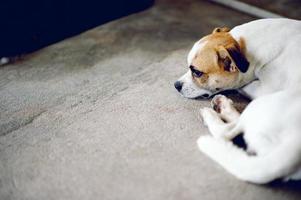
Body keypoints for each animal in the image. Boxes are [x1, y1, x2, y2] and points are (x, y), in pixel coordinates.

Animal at [173, 18, 300, 184]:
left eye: (197, 72)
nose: (176, 85)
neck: (245, 47)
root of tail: (295, 146)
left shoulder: (264, 88)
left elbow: (243, 86)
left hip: (262, 103)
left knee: (225, 132)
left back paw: (212, 113)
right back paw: (224, 107)